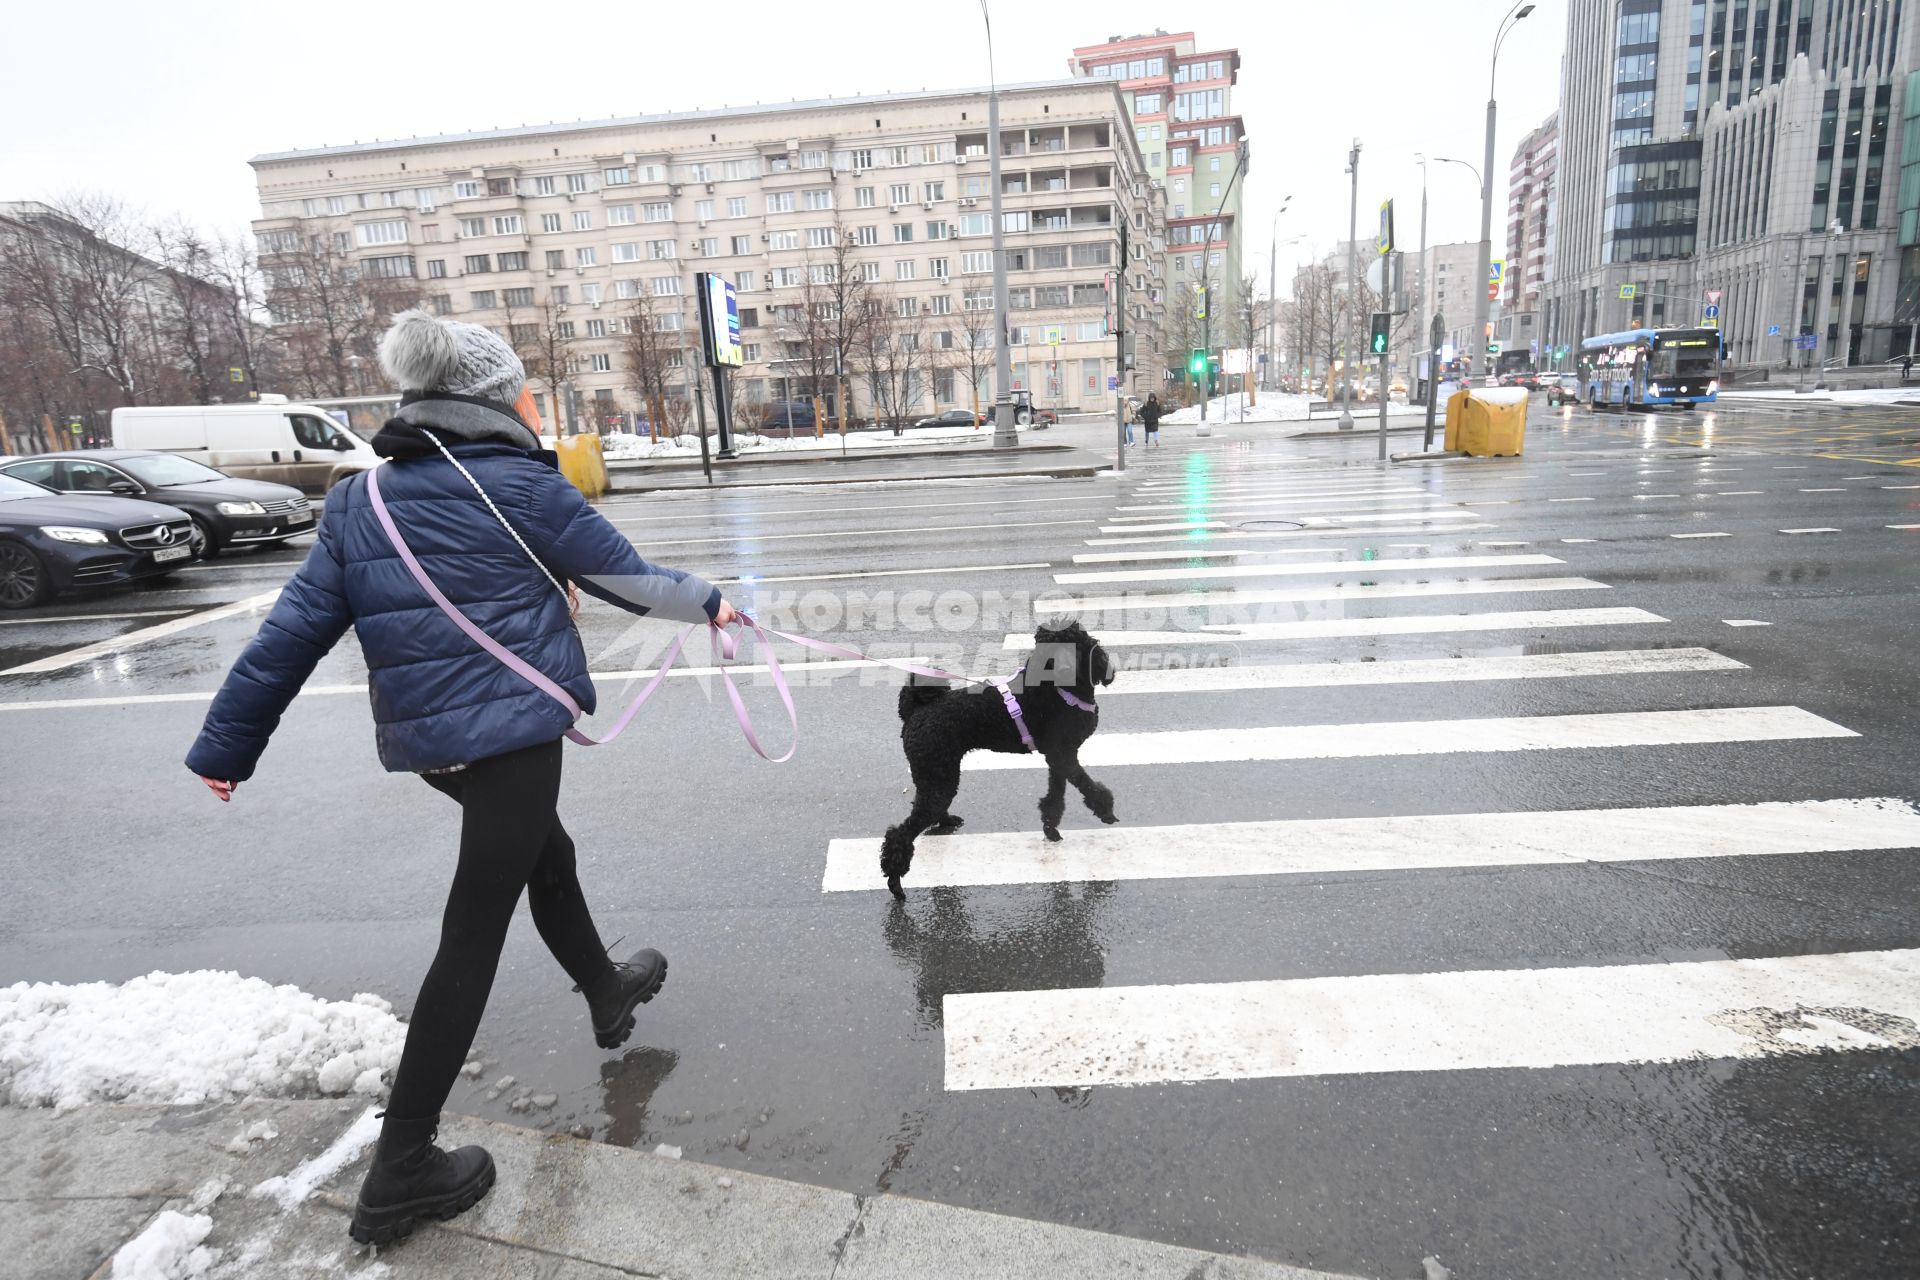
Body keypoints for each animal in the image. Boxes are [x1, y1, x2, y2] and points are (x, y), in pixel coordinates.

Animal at [879, 621, 1121, 901]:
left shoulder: (1058, 756)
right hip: (938, 771)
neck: (1060, 689)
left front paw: (1050, 829)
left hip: (936, 771)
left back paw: (946, 822)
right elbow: (1088, 786)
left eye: (1073, 647)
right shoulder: (1064, 756)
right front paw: (1105, 812)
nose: (1062, 669)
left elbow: (1055, 797)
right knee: (902, 832)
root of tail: (915, 710)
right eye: (1047, 651)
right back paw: (895, 883)